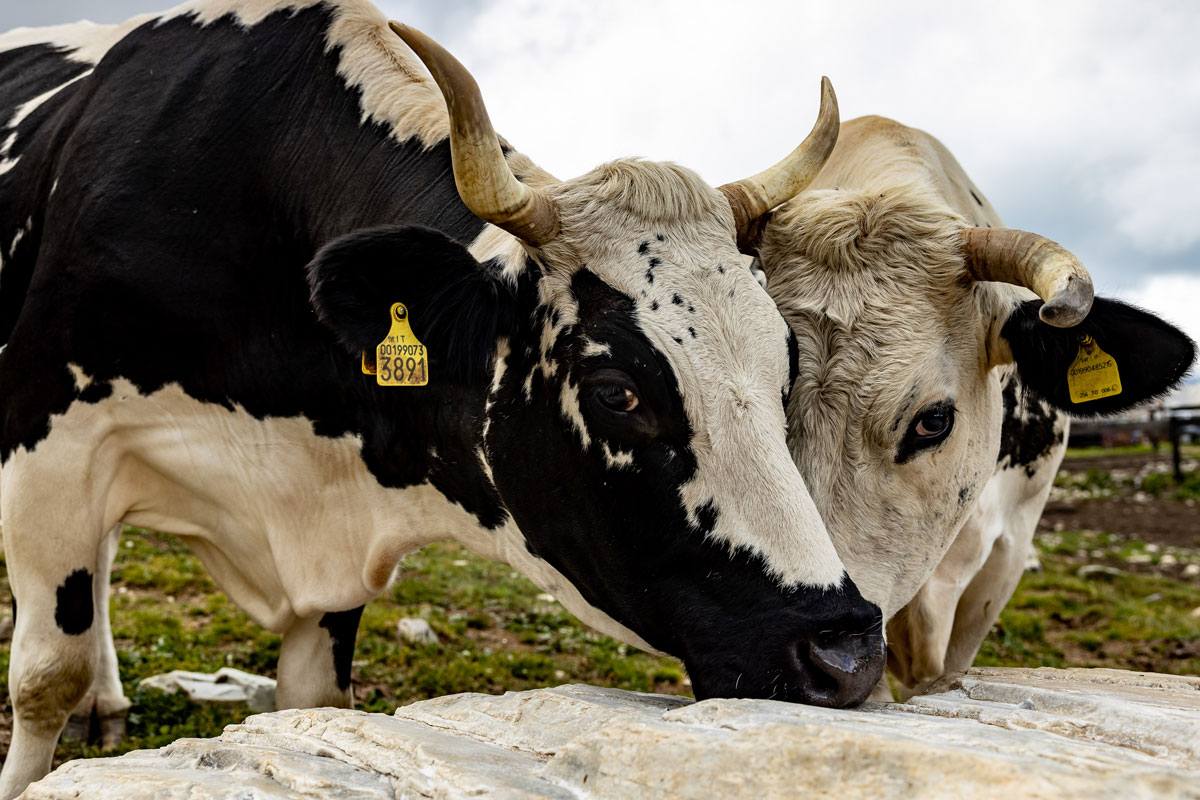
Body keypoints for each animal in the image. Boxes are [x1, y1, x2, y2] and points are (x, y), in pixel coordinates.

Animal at [0, 2, 887, 795]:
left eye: (784, 369)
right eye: (616, 391)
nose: (845, 653)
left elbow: (308, 700)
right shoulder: (49, 446)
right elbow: (45, 676)